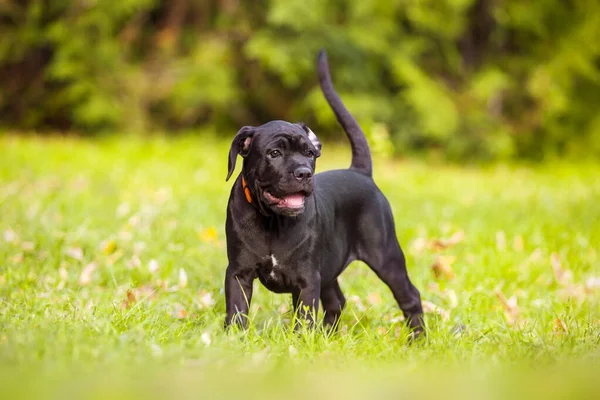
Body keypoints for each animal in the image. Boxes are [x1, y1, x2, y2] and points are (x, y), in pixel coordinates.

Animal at [223, 50, 424, 338]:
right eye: (275, 153)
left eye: (309, 153)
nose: (304, 173)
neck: (272, 221)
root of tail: (362, 172)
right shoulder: (239, 272)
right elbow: (237, 312)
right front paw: (234, 340)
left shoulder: (307, 278)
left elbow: (303, 319)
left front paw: (299, 342)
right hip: (330, 268)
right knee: (337, 301)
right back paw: (328, 337)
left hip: (386, 255)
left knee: (410, 296)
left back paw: (418, 340)